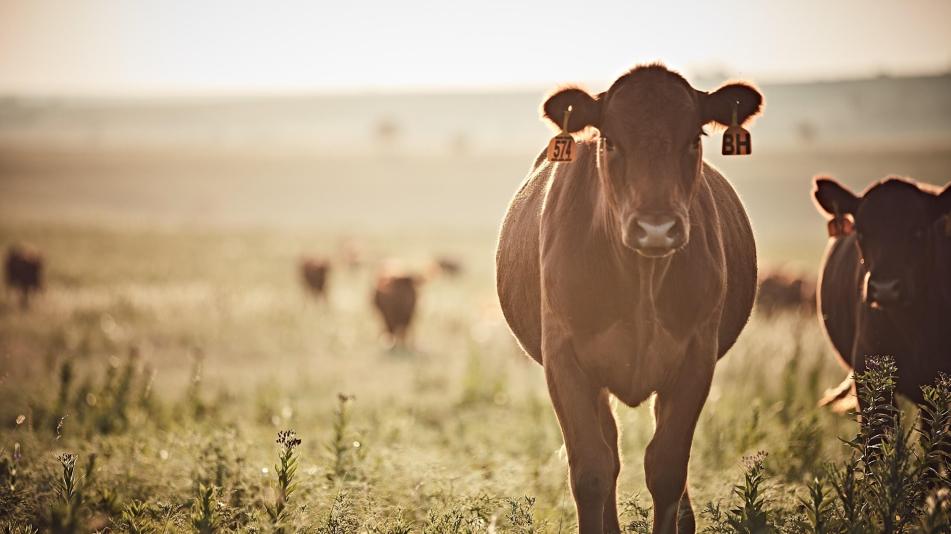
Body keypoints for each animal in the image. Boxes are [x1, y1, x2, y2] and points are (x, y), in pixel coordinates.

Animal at [496, 64, 762, 534]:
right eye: (611, 140)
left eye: (694, 138)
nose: (656, 228)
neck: (641, 281)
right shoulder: (564, 359)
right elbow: (591, 470)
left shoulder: (697, 357)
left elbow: (667, 467)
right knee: (611, 451)